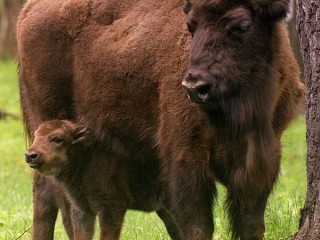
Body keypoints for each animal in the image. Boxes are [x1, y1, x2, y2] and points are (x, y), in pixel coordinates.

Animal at [25, 120, 180, 240]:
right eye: (35, 136)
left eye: (57, 139)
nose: (30, 155)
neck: (86, 159)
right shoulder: (82, 209)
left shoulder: (111, 207)